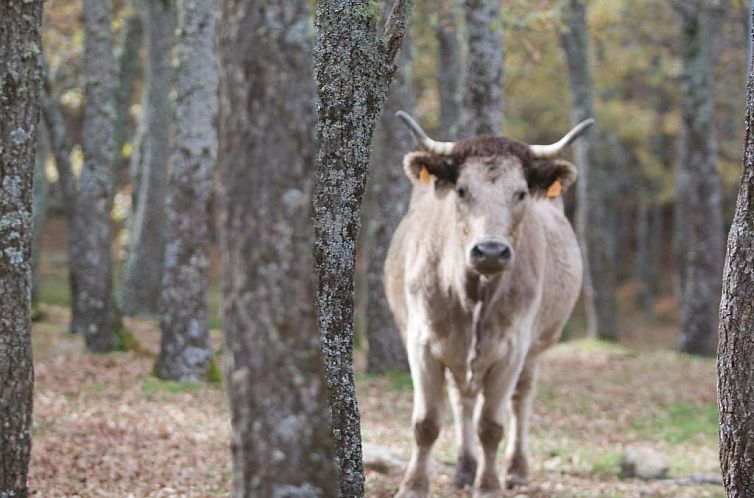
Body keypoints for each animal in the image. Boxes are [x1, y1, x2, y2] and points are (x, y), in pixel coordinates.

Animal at [384, 113, 592, 498]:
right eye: (462, 190)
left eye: (521, 192)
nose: (491, 251)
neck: (472, 294)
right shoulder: (421, 343)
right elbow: (426, 423)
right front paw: (413, 486)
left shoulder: (512, 348)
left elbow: (492, 425)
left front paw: (490, 485)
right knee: (463, 400)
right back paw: (464, 468)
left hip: (534, 349)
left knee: (521, 400)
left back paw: (515, 470)